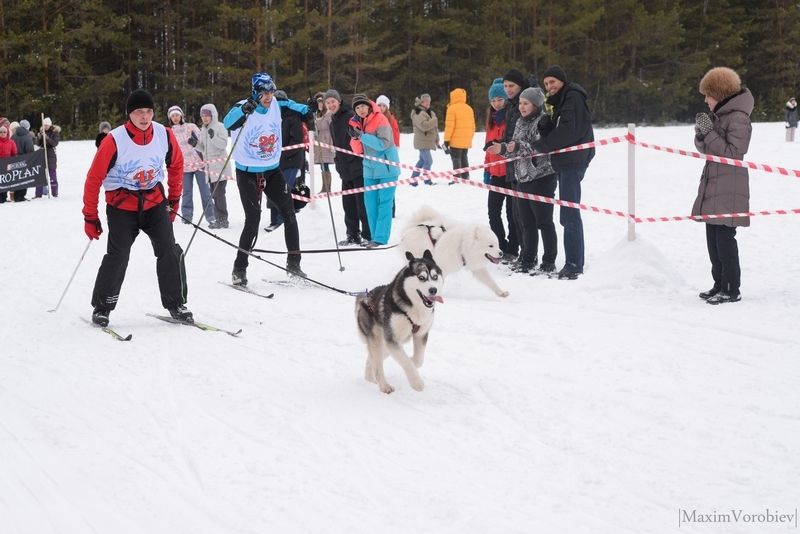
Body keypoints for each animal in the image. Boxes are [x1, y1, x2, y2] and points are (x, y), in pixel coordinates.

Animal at [356, 250, 444, 394]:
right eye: (421, 277)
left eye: (435, 277)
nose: (433, 290)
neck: (414, 308)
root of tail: (365, 297)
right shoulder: (392, 340)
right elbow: (407, 362)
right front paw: (416, 382)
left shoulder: (421, 334)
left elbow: (418, 360)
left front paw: (412, 360)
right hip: (379, 341)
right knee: (377, 364)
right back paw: (384, 386)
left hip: (385, 345)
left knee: (371, 359)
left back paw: (370, 378)